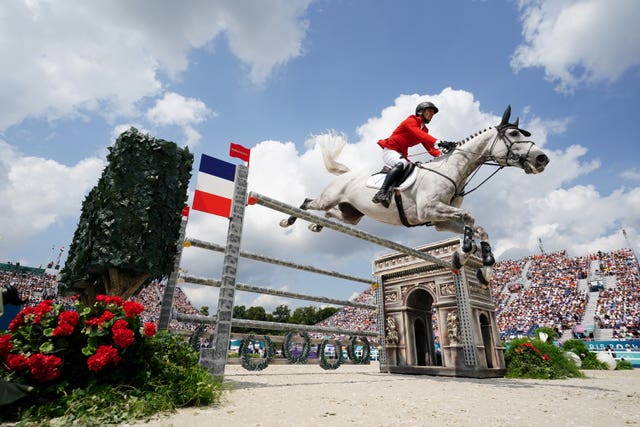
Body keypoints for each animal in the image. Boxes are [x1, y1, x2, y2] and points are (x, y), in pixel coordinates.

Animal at [280, 106, 552, 280]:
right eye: (513, 134)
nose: (542, 159)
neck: (452, 170)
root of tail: (345, 176)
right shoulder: (430, 210)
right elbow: (470, 217)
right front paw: (464, 251)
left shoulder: (441, 221)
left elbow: (479, 228)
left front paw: (481, 265)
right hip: (329, 197)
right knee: (309, 202)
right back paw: (288, 219)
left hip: (351, 215)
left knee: (331, 214)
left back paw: (316, 225)